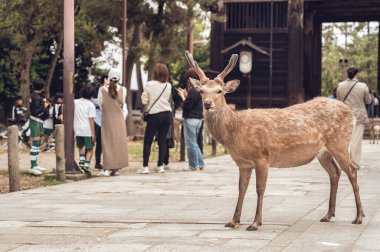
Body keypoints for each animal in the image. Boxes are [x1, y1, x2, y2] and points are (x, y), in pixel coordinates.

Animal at [185, 52, 366, 231]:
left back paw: (358, 217)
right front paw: (233, 220)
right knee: (335, 173)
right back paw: (328, 215)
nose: (207, 104)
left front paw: (255, 223)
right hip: (324, 153)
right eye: (201, 91)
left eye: (219, 91)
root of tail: (350, 112)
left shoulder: (262, 157)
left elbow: (260, 188)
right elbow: (241, 188)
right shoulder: (243, 163)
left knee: (352, 171)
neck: (236, 132)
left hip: (340, 142)